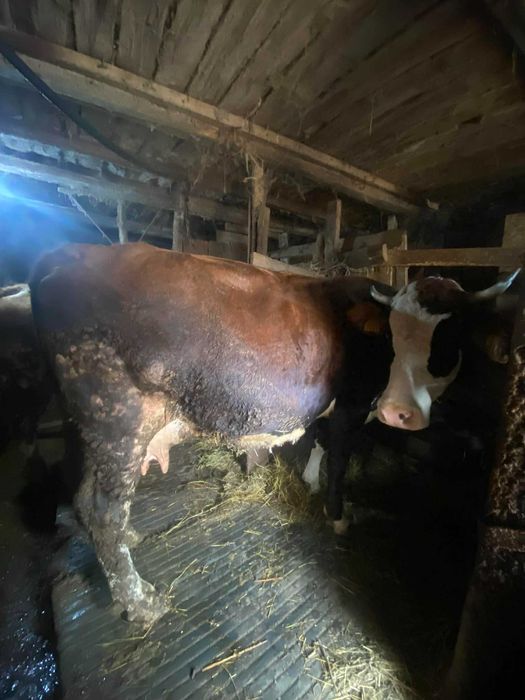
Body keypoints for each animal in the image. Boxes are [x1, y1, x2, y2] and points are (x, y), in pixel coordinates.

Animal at [29, 242, 519, 624]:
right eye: (392, 336)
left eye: (449, 333)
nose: (398, 413)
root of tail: (64, 254)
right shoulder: (353, 404)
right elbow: (340, 459)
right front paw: (337, 515)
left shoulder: (332, 404)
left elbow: (319, 443)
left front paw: (308, 479)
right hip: (118, 416)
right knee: (102, 511)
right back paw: (141, 602)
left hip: (95, 428)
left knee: (85, 499)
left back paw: (129, 542)